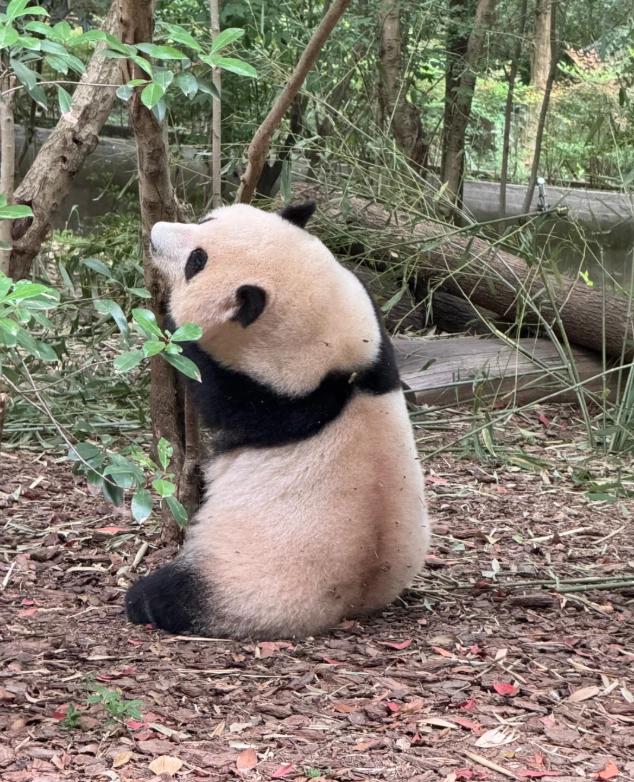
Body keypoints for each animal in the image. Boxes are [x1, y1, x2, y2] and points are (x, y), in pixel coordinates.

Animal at [125, 201, 429, 640]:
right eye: (206, 221)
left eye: (197, 262)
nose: (156, 233)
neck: (339, 365)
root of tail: (350, 606)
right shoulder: (378, 349)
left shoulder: (270, 397)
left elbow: (211, 389)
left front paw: (169, 321)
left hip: (247, 582)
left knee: (179, 597)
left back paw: (143, 599)